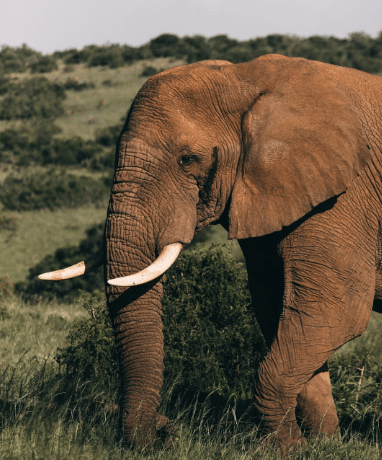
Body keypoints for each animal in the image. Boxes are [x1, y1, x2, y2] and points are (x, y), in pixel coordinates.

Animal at [38, 54, 382, 452]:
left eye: (187, 159)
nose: (164, 430)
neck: (245, 78)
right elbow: (282, 312)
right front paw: (322, 446)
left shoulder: (344, 197)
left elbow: (334, 313)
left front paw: (287, 449)